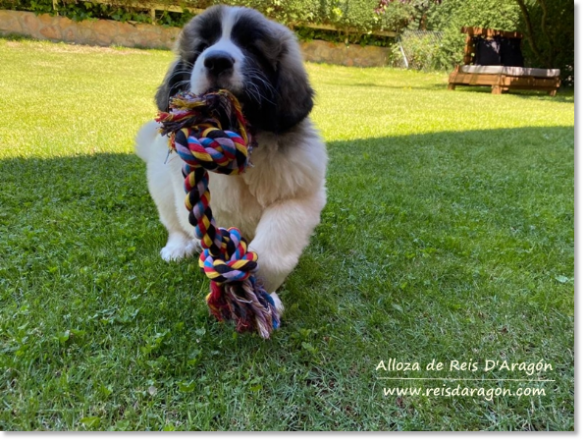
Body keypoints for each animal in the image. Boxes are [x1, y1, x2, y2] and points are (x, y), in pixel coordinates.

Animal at [136, 5, 328, 312]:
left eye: (250, 47)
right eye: (203, 46)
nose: (216, 60)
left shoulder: (299, 196)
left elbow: (274, 247)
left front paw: (261, 291)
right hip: (161, 184)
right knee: (172, 221)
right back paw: (177, 246)